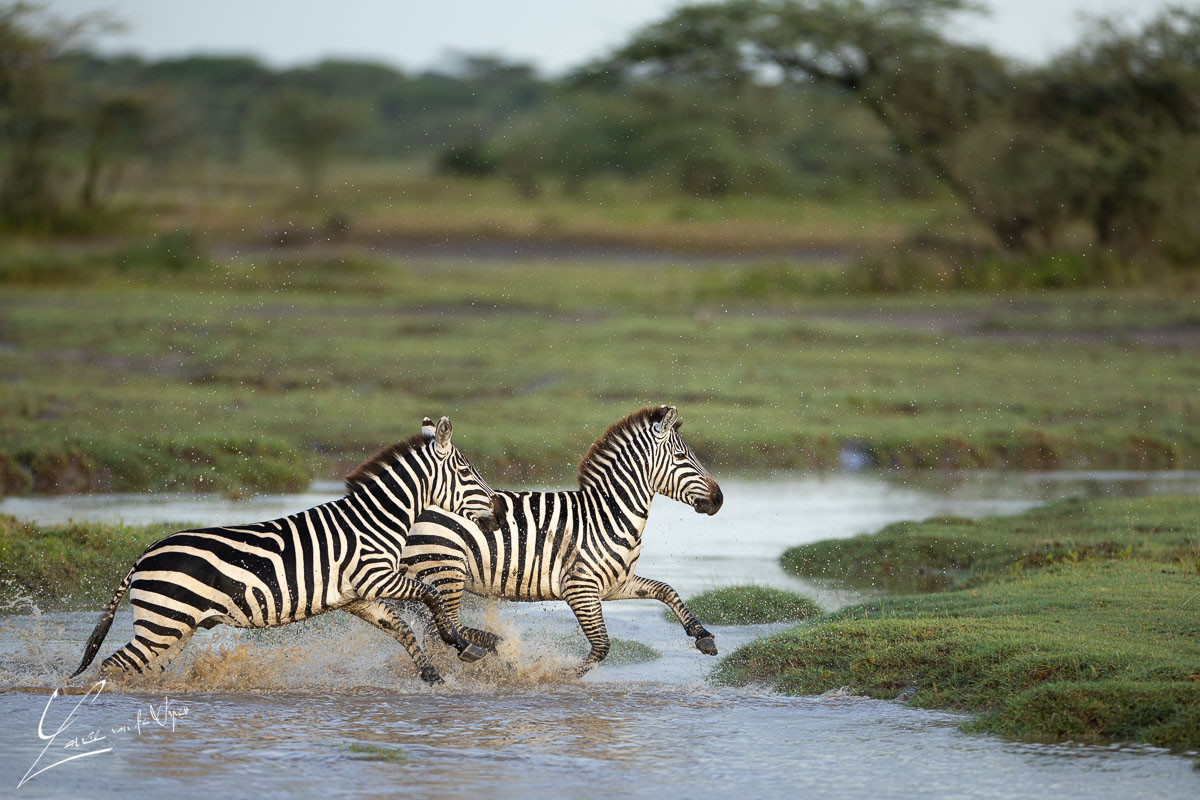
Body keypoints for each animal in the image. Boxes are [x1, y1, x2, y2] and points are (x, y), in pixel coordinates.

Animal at [69, 416, 502, 685]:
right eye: (468, 472)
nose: (498, 512)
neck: (376, 519)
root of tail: (142, 557)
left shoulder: (358, 596)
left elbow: (401, 628)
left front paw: (433, 673)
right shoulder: (375, 577)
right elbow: (430, 595)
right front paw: (460, 642)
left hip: (174, 627)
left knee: (134, 667)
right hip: (164, 623)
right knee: (113, 664)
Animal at [398, 405, 724, 674]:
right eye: (682, 457)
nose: (719, 499)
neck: (609, 515)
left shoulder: (616, 584)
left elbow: (666, 590)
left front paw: (703, 637)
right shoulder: (580, 587)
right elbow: (602, 646)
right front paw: (561, 676)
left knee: (435, 629)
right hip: (445, 571)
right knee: (445, 626)